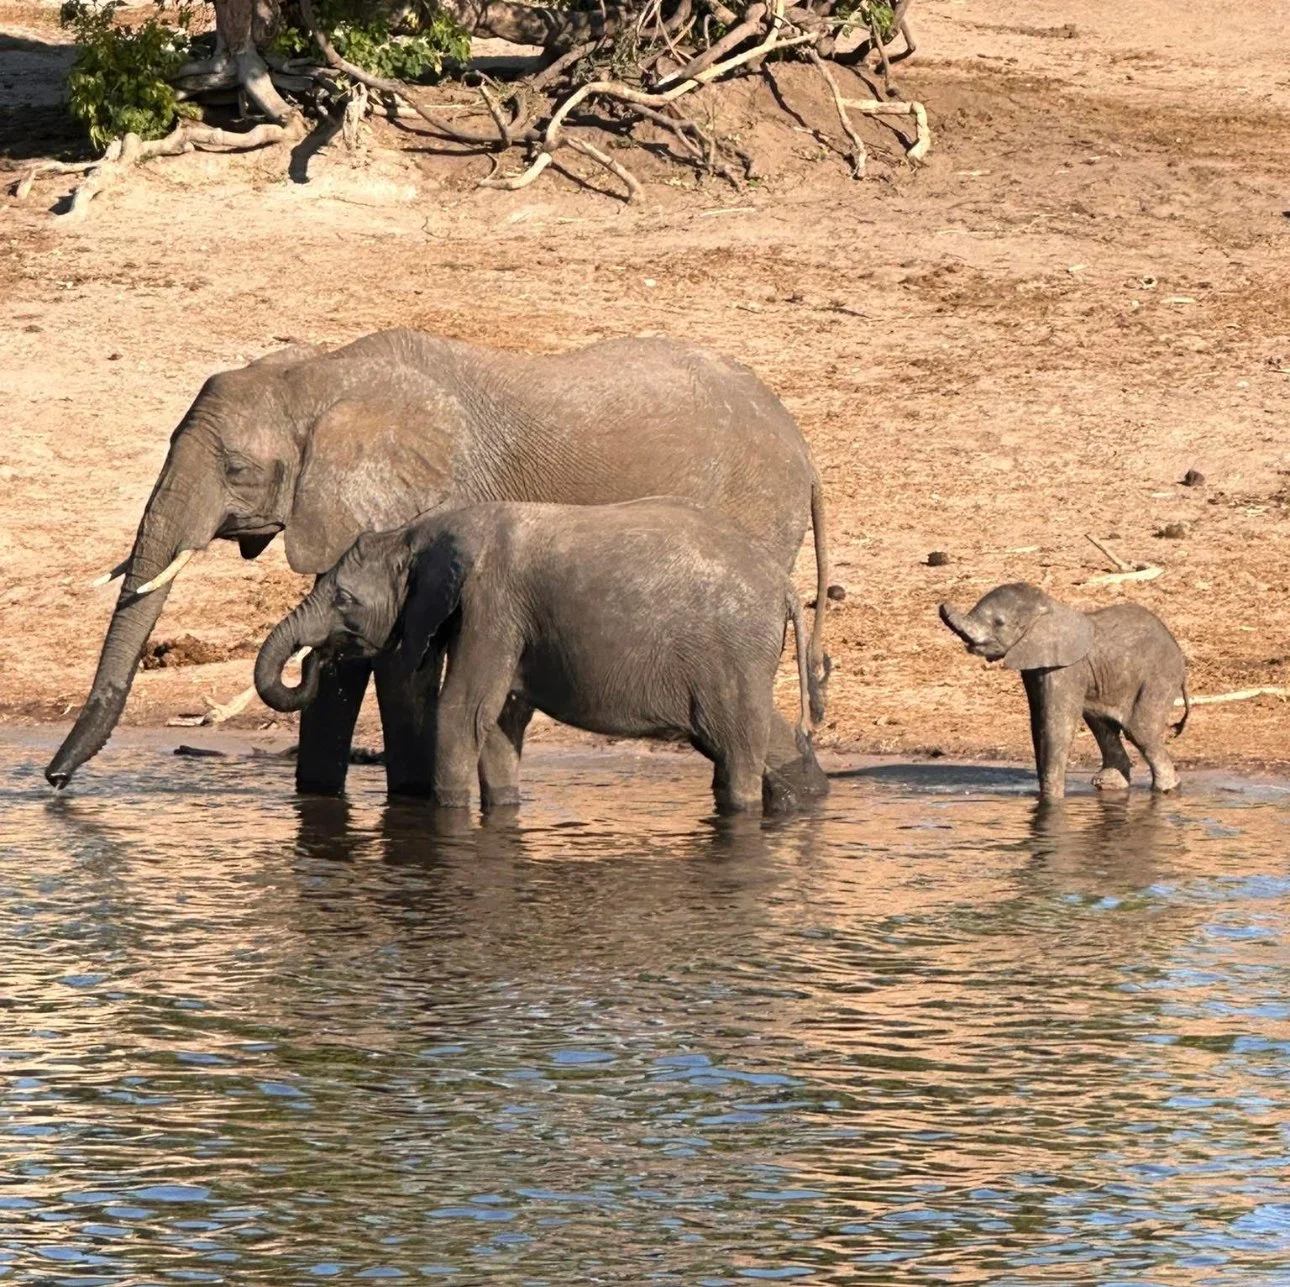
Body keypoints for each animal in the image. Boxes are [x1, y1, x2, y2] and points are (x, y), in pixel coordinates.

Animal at [254, 500, 822, 815]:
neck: (415, 532)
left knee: (738, 749)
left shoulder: (492, 602)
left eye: (344, 599)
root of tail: (785, 585)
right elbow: (499, 720)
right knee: (762, 739)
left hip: (733, 652)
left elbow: (462, 712)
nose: (316, 660)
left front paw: (448, 818)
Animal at [939, 583, 1189, 799]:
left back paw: (1167, 789)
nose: (942, 605)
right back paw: (1110, 785)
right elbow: (1038, 722)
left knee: (1140, 729)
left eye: (999, 622)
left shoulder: (1068, 668)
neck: (1048, 608)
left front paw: (1052, 800)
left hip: (1160, 676)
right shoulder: (1034, 665)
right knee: (1101, 724)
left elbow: (1056, 724)